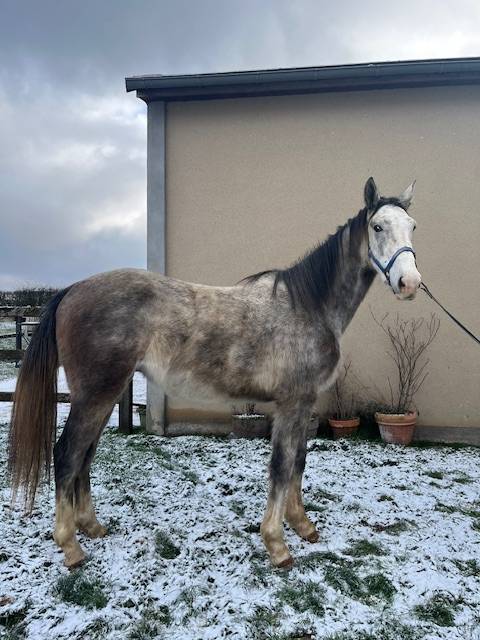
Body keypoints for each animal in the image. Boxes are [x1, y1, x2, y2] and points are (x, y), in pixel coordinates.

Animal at [8, 177, 421, 569]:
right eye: (378, 226)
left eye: (412, 226)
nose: (410, 283)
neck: (309, 307)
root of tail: (71, 290)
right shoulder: (290, 403)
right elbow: (281, 466)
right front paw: (277, 545)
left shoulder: (304, 403)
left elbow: (299, 462)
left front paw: (303, 526)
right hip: (95, 395)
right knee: (66, 455)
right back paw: (71, 547)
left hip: (103, 395)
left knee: (85, 456)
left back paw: (91, 527)